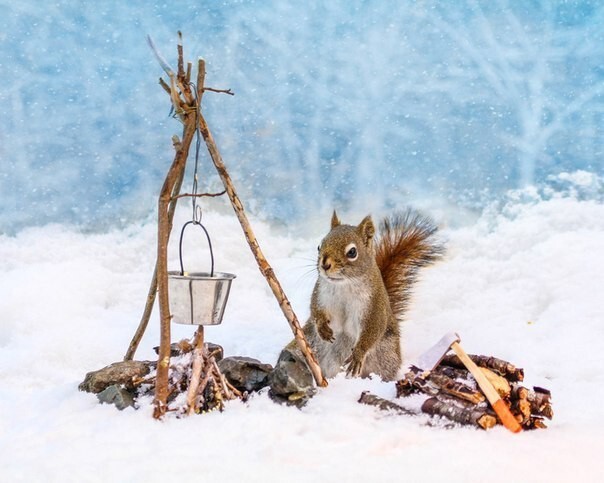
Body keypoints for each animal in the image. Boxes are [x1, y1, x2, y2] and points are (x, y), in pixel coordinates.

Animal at [298, 210, 444, 384]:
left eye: (352, 252)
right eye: (319, 246)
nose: (325, 265)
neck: (344, 284)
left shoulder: (374, 306)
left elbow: (372, 330)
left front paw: (357, 355)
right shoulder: (320, 294)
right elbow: (315, 310)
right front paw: (322, 328)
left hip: (387, 355)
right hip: (309, 340)